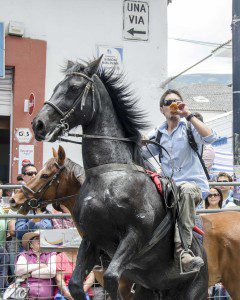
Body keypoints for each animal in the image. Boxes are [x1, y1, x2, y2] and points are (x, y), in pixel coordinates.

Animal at [29, 57, 208, 298]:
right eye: (57, 87)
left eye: (74, 88)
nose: (38, 124)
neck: (109, 175)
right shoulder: (92, 238)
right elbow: (75, 284)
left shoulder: (135, 235)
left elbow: (111, 277)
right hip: (147, 290)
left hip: (195, 290)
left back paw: (188, 259)